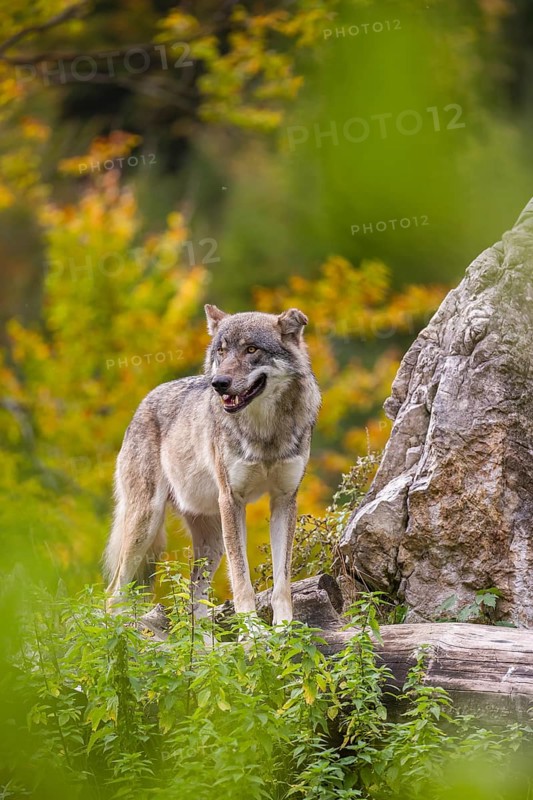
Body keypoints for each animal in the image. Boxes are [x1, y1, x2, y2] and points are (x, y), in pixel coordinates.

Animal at [104, 305, 321, 624]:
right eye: (221, 351)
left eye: (251, 349)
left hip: (213, 541)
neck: (265, 432)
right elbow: (241, 580)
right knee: (113, 593)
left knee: (196, 602)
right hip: (147, 523)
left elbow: (282, 582)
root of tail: (143, 403)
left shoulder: (284, 500)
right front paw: (253, 631)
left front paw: (285, 628)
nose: (218, 384)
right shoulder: (232, 500)